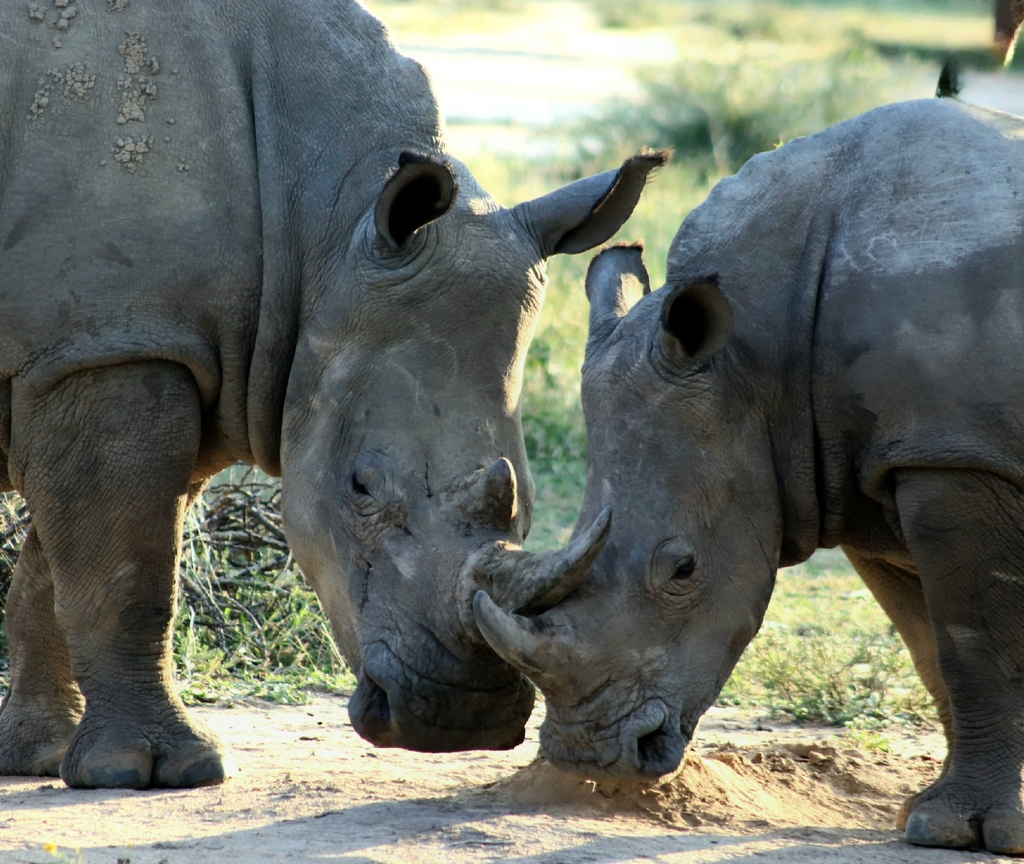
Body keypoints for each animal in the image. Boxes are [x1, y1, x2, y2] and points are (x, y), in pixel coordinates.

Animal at [0, 0, 663, 786]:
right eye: (361, 487)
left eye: (527, 503)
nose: (460, 719)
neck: (320, 223)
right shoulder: (113, 343)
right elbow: (128, 571)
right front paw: (154, 770)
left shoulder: (128, 351)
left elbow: (59, 564)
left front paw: (40, 756)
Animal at [473, 97, 1024, 855]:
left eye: (683, 570)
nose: (593, 757)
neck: (763, 351)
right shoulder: (869, 467)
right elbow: (932, 647)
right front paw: (929, 812)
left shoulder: (955, 452)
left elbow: (977, 646)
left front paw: (965, 831)